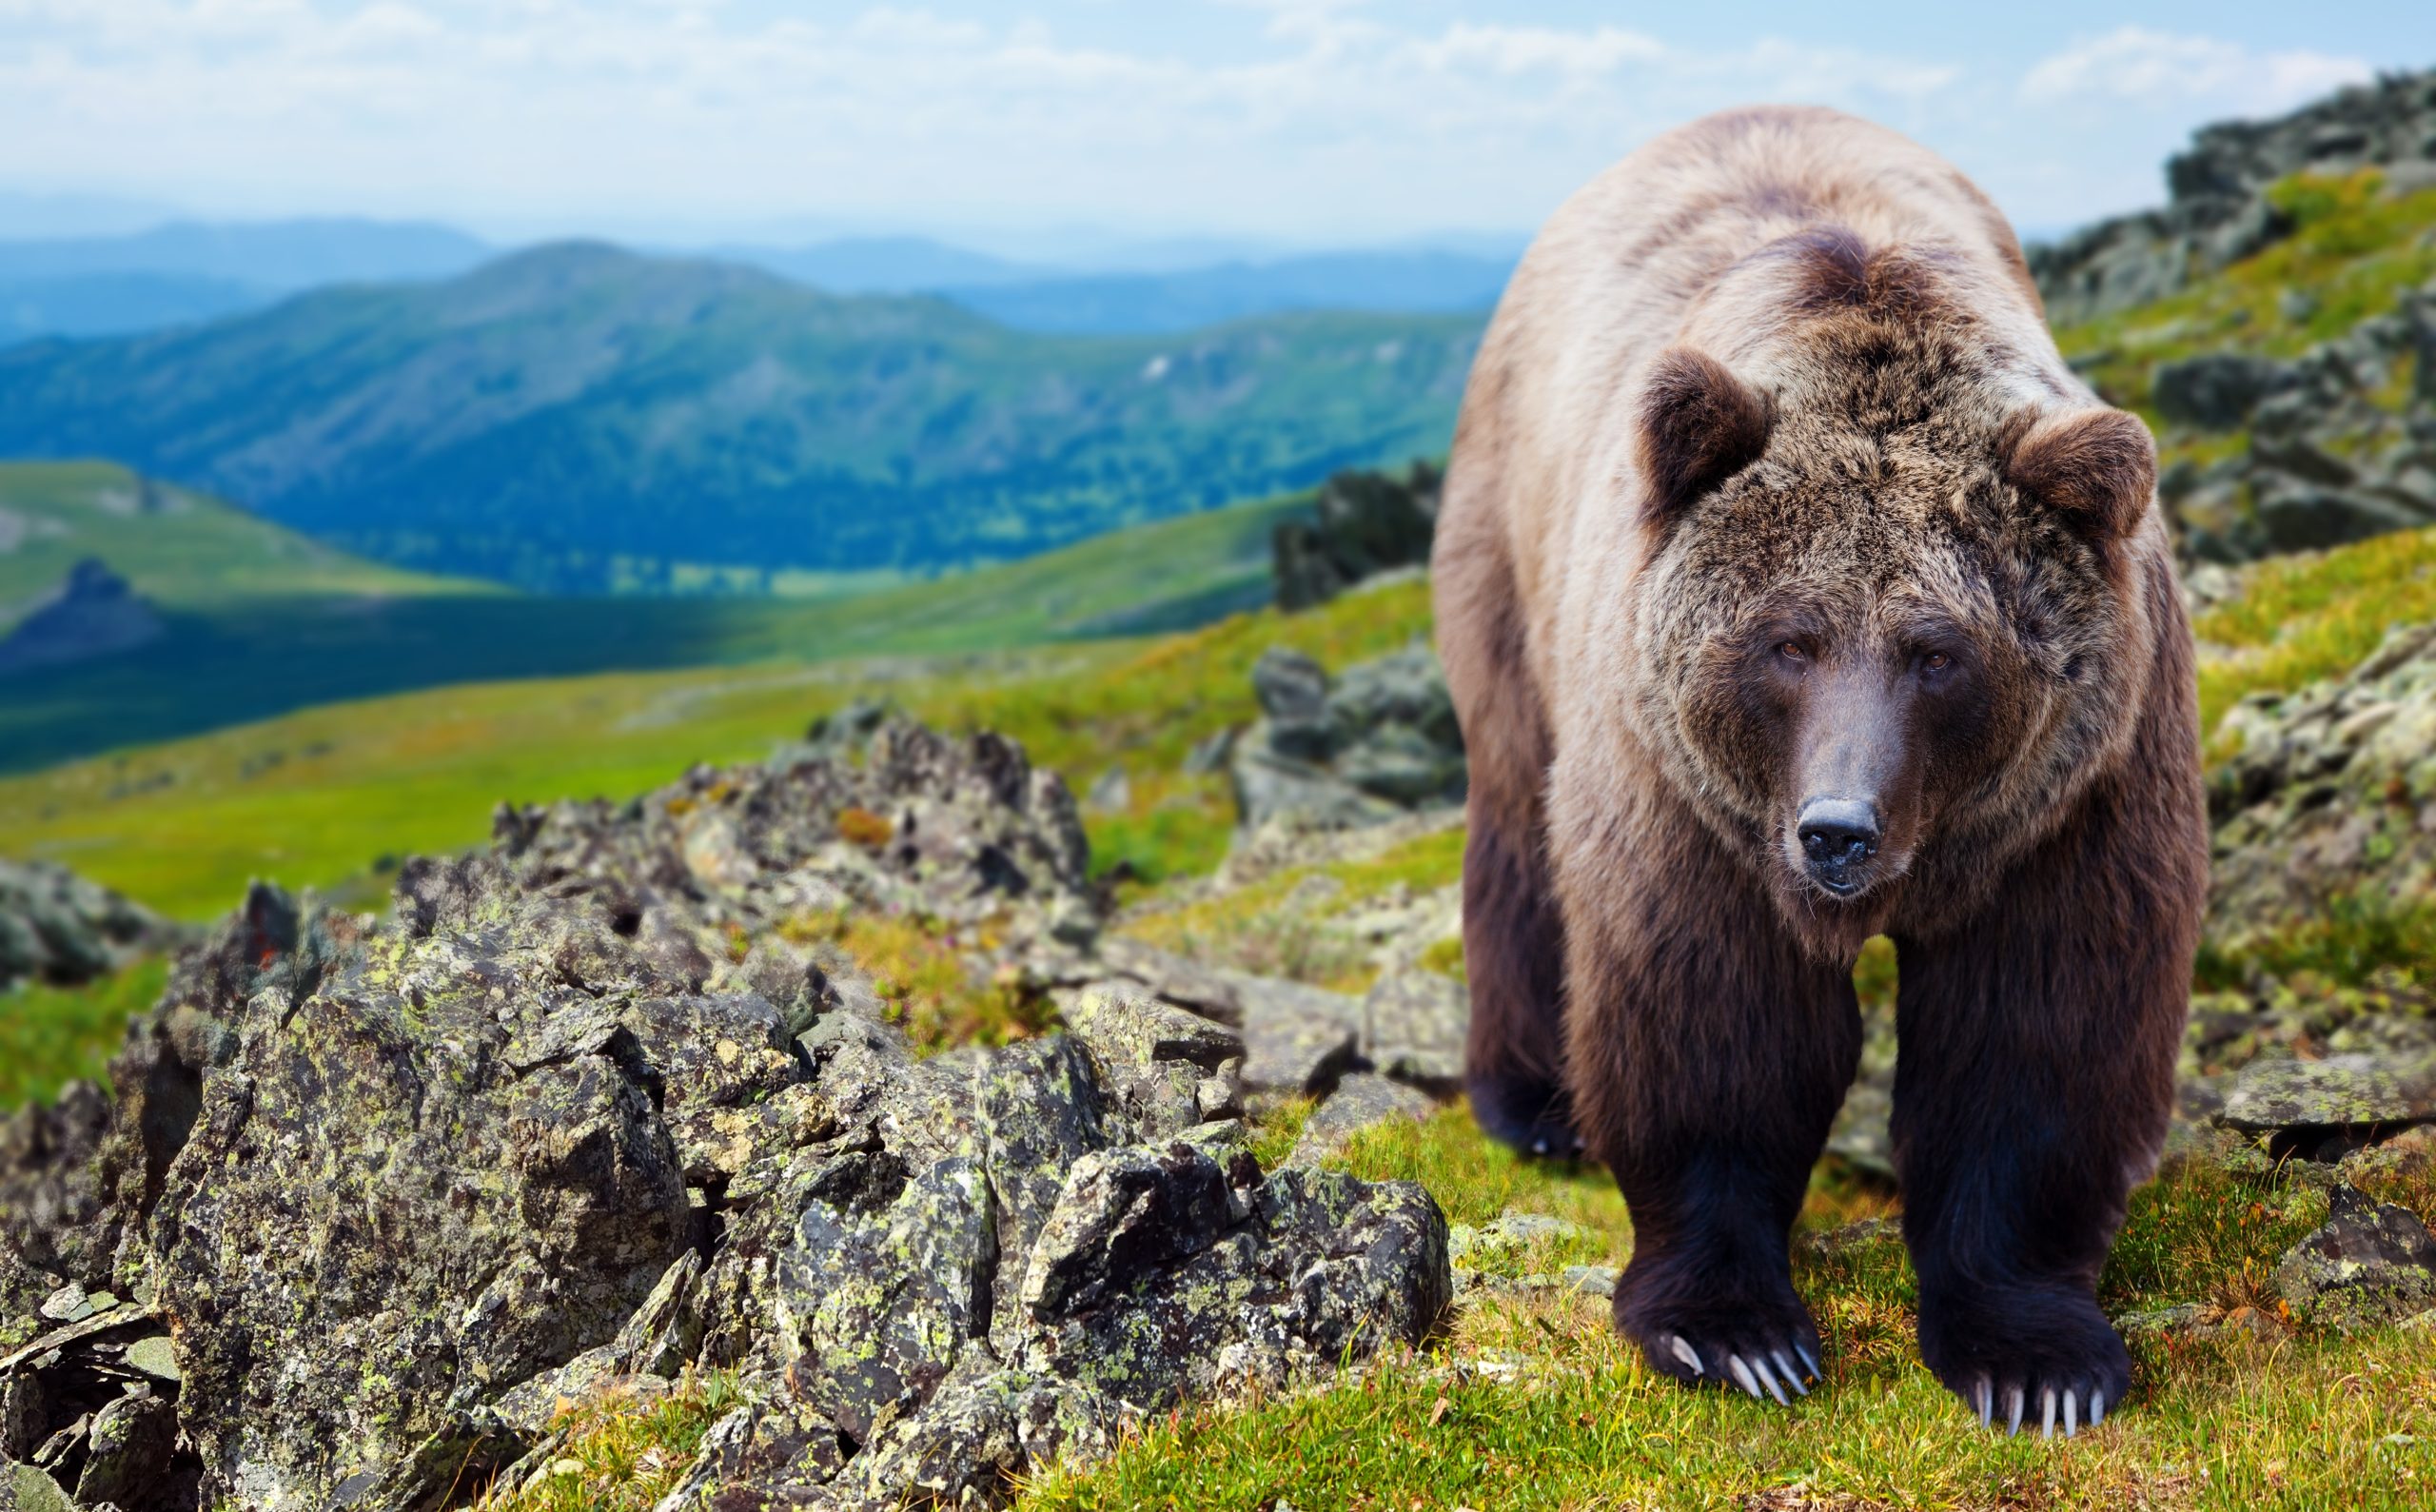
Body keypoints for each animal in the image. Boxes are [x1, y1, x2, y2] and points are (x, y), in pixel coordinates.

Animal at [1430, 105, 2208, 1433]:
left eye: (1938, 651)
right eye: (1786, 639)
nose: (1836, 829)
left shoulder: (2073, 798)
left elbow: (2038, 1030)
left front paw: (2034, 1359)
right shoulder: (1691, 798)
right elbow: (1713, 1015)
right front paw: (1736, 1332)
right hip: (1513, 552)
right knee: (1519, 813)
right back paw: (1532, 1102)